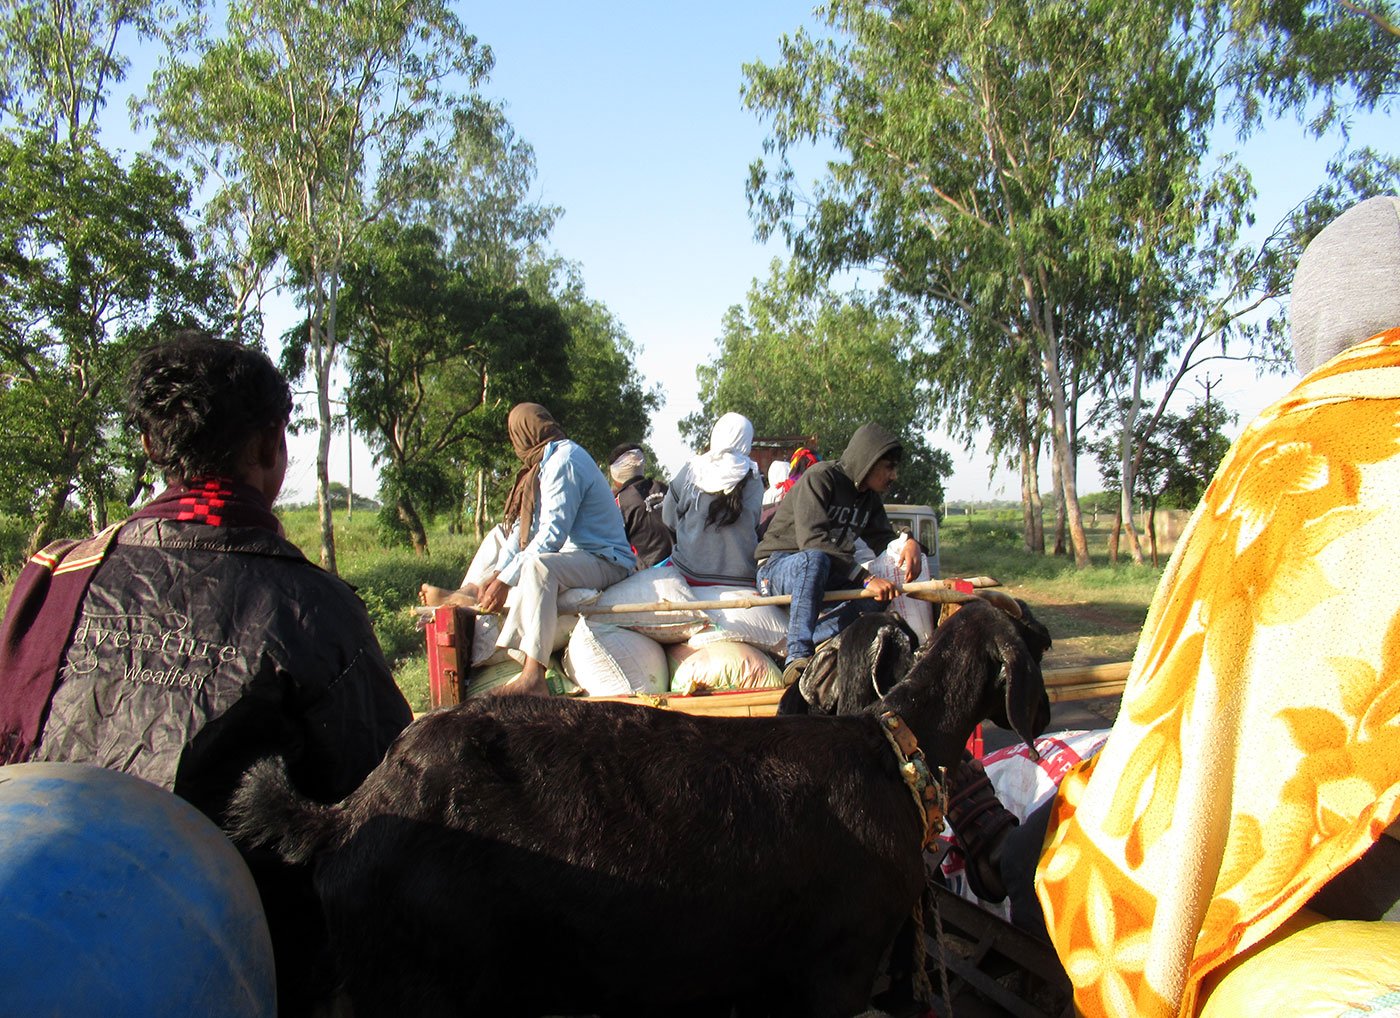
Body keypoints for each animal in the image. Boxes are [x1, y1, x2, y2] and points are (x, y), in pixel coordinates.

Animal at [226, 596, 1052, 1018]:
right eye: (1038, 644)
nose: (1040, 718)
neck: (891, 743)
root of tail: (347, 812)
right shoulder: (839, 971)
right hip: (414, 990)